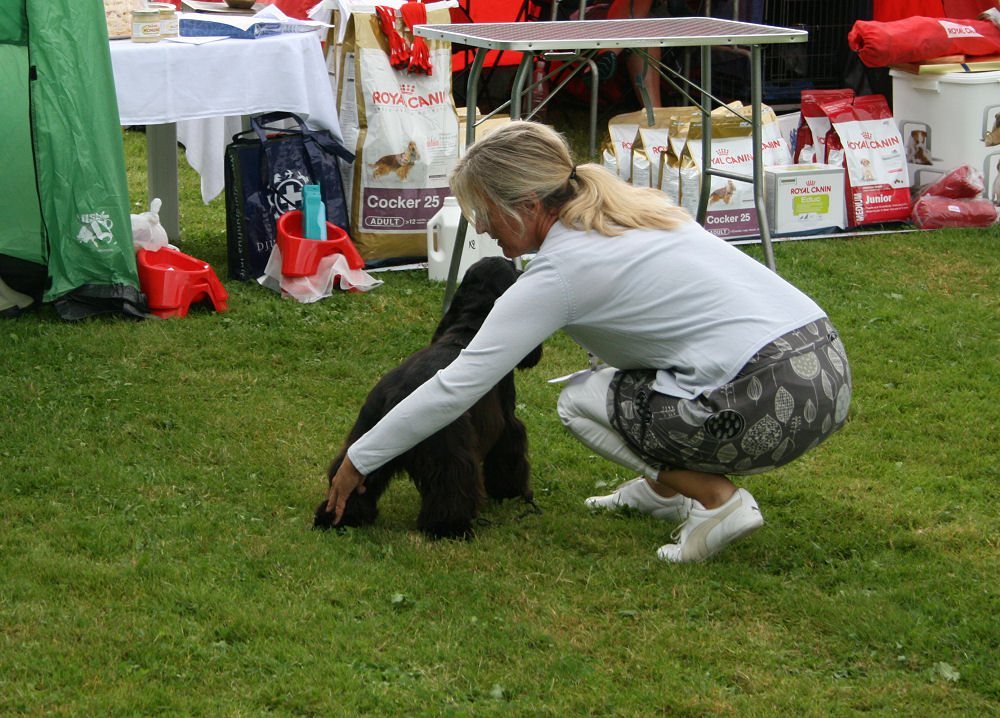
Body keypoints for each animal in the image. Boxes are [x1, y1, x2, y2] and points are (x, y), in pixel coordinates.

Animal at [314, 258, 544, 540]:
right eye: (515, 270)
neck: (469, 327)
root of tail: (398, 395)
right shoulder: (505, 420)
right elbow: (508, 451)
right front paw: (511, 491)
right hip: (448, 450)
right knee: (451, 487)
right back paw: (450, 528)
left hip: (368, 432)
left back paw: (338, 519)